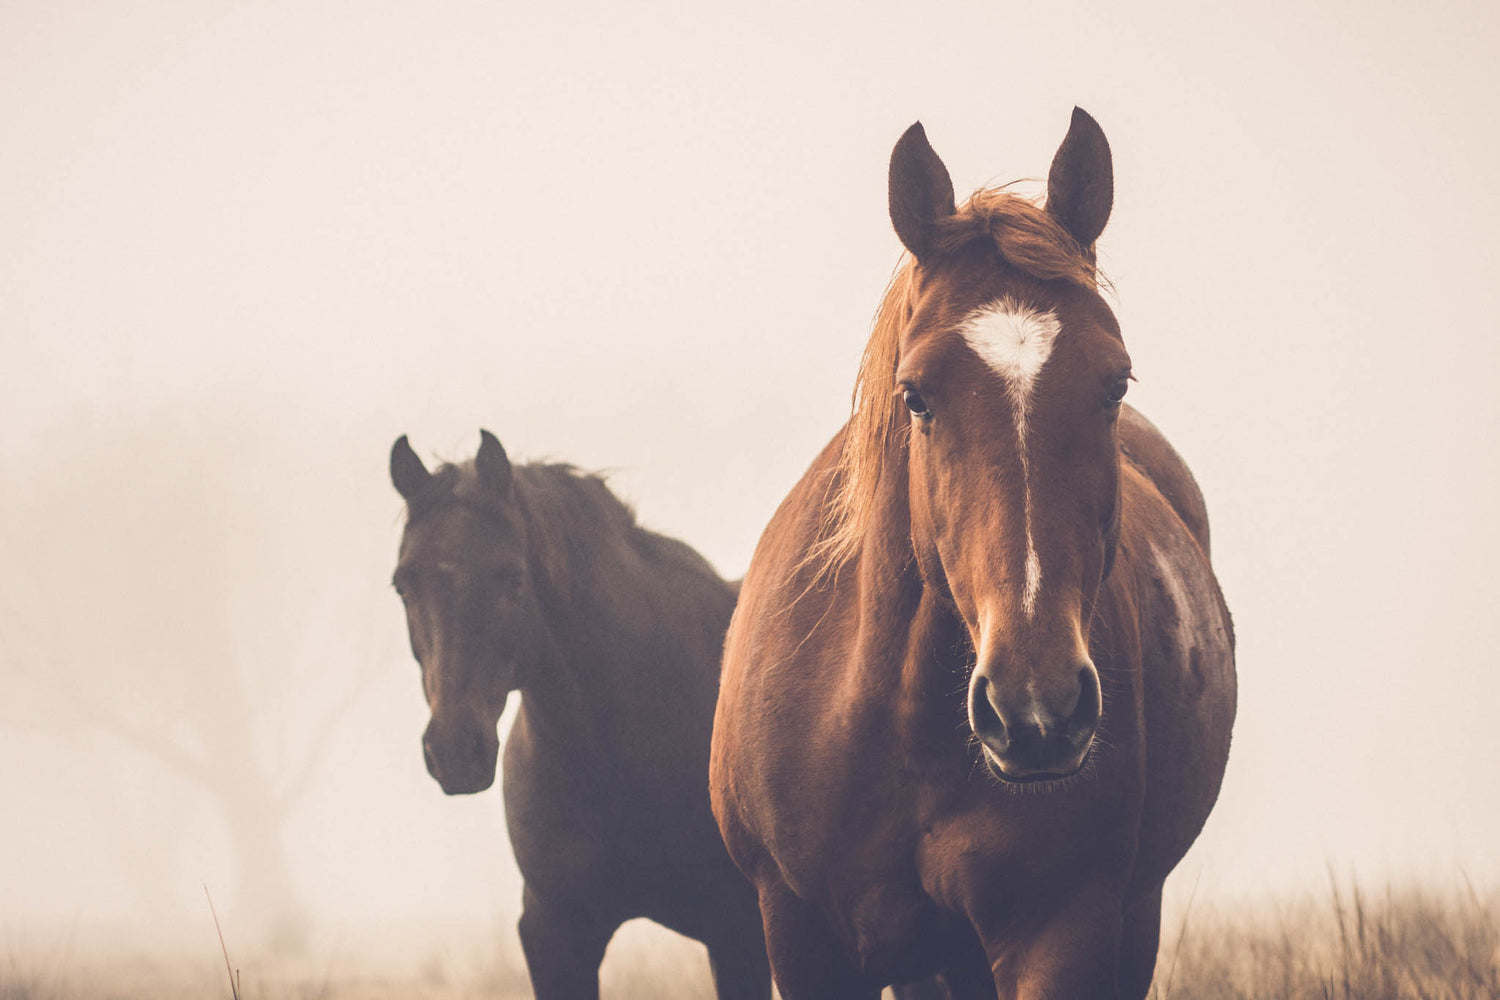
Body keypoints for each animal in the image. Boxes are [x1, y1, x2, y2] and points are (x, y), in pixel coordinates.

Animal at [708, 111, 1236, 1000]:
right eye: (916, 395)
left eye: (1115, 384)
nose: (1036, 708)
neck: (897, 722)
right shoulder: (801, 932)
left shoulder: (1062, 931)